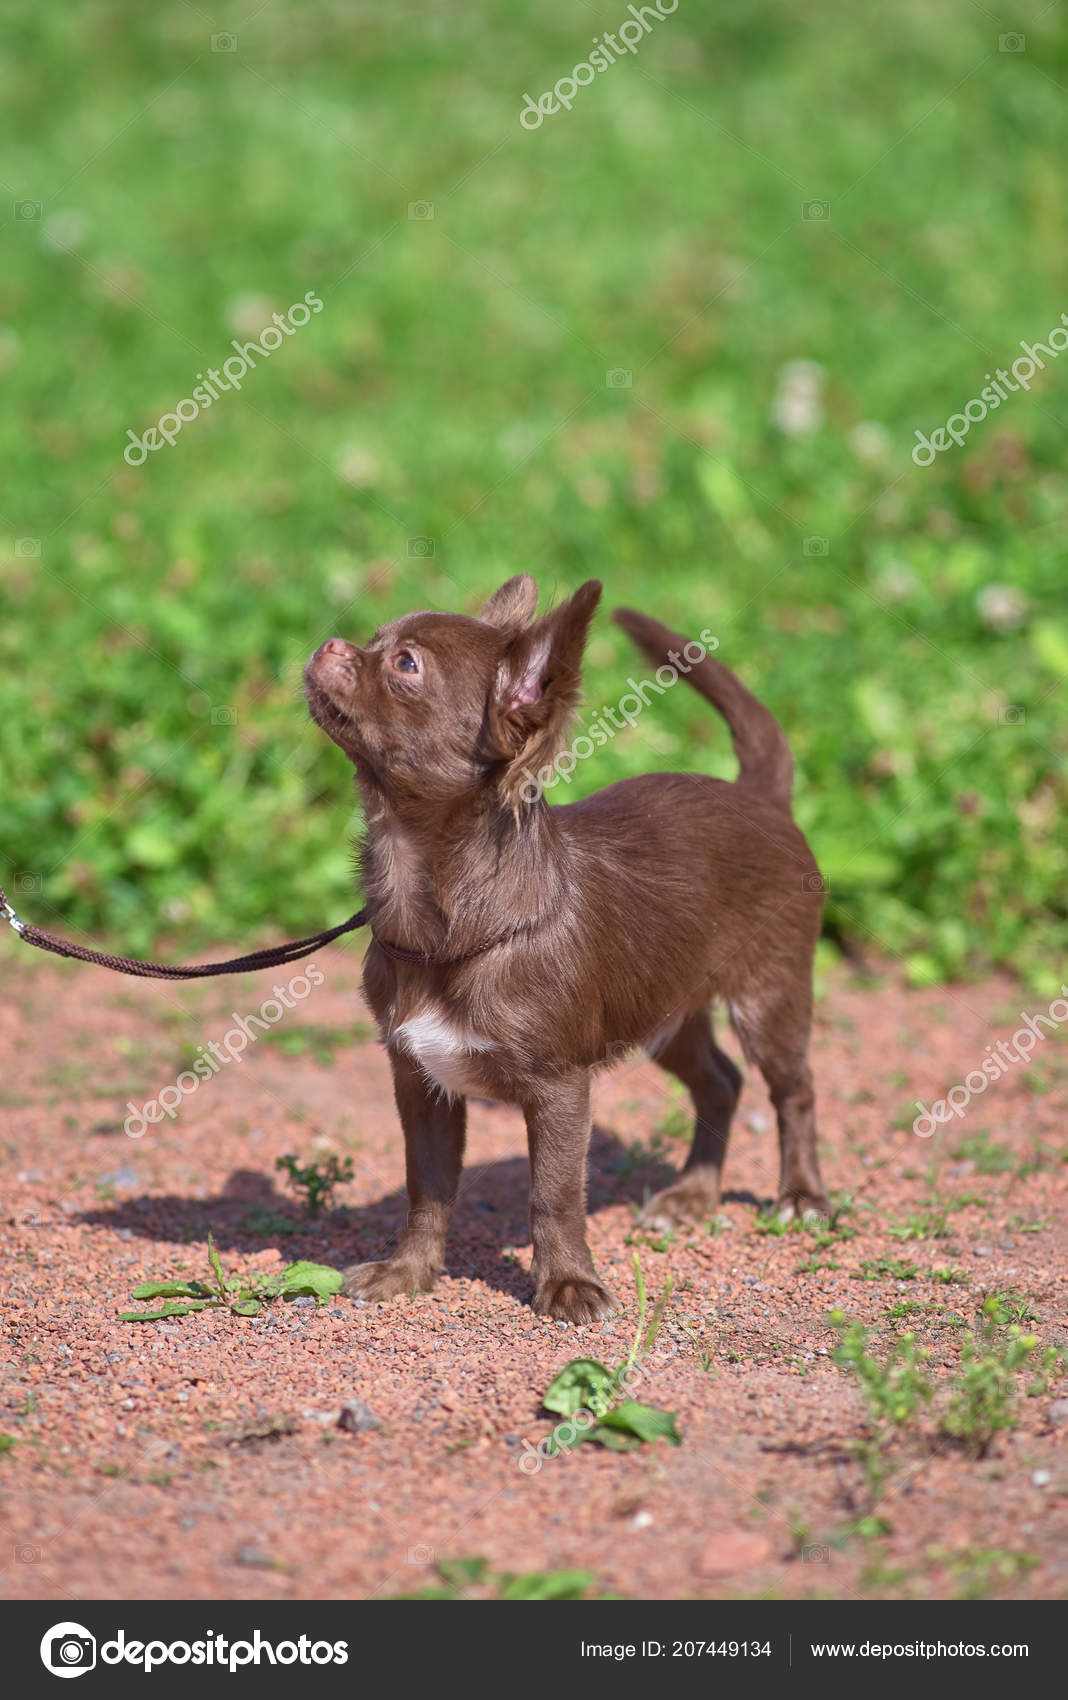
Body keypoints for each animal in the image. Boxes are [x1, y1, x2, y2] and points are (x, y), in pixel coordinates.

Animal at [304, 578, 829, 1319]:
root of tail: (760, 796)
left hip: (768, 998)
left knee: (794, 1089)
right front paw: (409, 1272)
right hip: (665, 1012)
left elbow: (553, 1195)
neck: (435, 906)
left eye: (405, 663)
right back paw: (693, 1195)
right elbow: (426, 1189)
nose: (328, 644)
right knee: (721, 1083)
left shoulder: (559, 1089)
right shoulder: (421, 1081)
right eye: (373, 639)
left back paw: (802, 1197)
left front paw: (568, 1284)